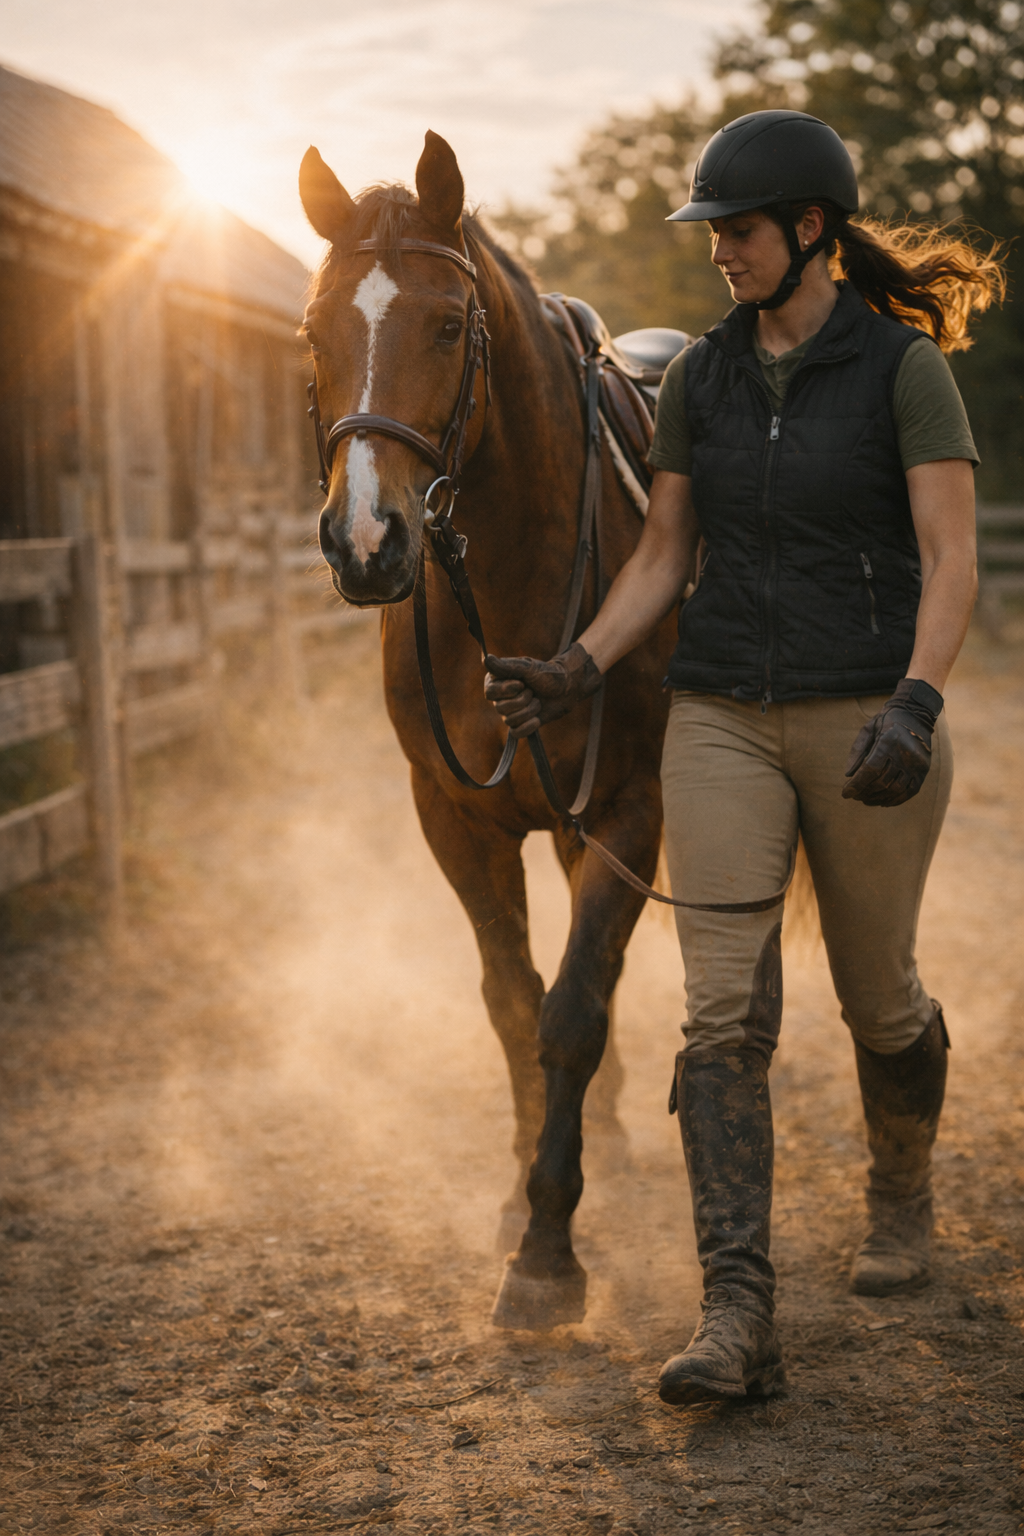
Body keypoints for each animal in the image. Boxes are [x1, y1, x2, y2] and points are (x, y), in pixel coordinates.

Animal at [298, 130, 680, 1330]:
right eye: (313, 333)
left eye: (447, 326)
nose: (366, 541)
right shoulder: (457, 819)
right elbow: (515, 1003)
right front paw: (521, 1195)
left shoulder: (629, 806)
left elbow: (570, 1012)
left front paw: (550, 1249)